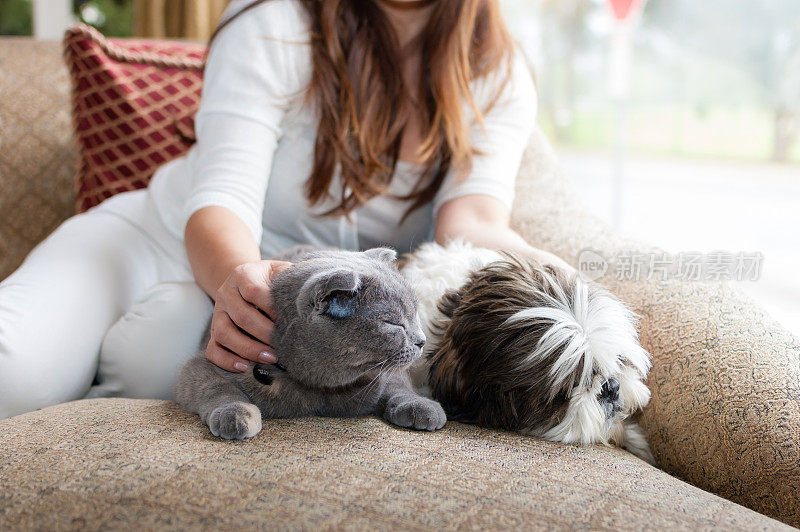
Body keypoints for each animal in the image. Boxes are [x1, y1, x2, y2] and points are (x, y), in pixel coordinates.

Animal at [175, 247, 446, 438]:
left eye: (414, 314)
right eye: (394, 323)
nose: (421, 341)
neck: (320, 390)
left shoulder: (383, 374)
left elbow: (398, 385)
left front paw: (422, 406)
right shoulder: (211, 359)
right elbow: (216, 387)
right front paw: (235, 414)